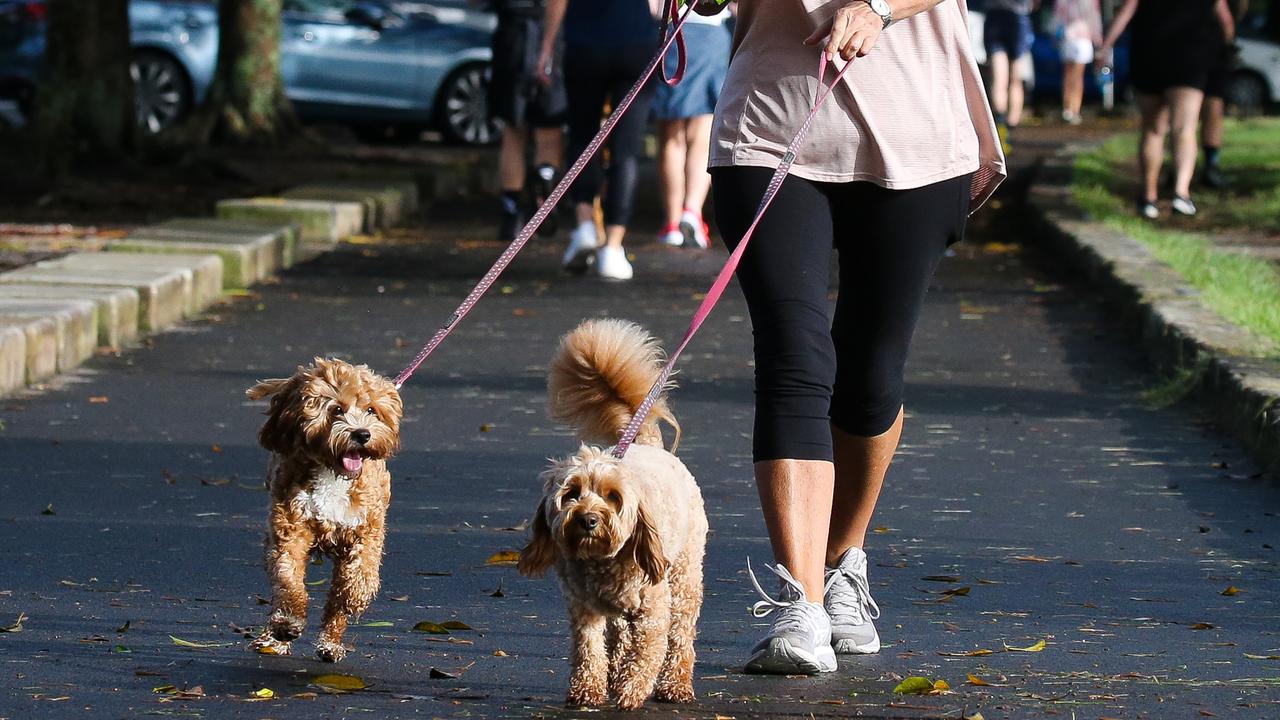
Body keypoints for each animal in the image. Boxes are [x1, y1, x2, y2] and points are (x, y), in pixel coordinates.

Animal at [240, 358, 399, 661]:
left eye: (371, 410)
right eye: (337, 409)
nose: (362, 434)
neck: (332, 472)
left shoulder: (367, 530)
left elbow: (357, 578)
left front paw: (354, 595)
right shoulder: (290, 529)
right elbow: (288, 579)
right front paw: (287, 623)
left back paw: (330, 643)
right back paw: (273, 639)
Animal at [517, 317, 711, 707]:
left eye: (613, 497)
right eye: (571, 494)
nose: (589, 520)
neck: (602, 562)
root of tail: (646, 443)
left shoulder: (653, 608)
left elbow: (647, 651)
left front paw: (631, 689)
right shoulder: (583, 608)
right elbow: (588, 648)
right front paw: (588, 690)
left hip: (684, 576)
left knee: (680, 634)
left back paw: (675, 684)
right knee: (620, 633)